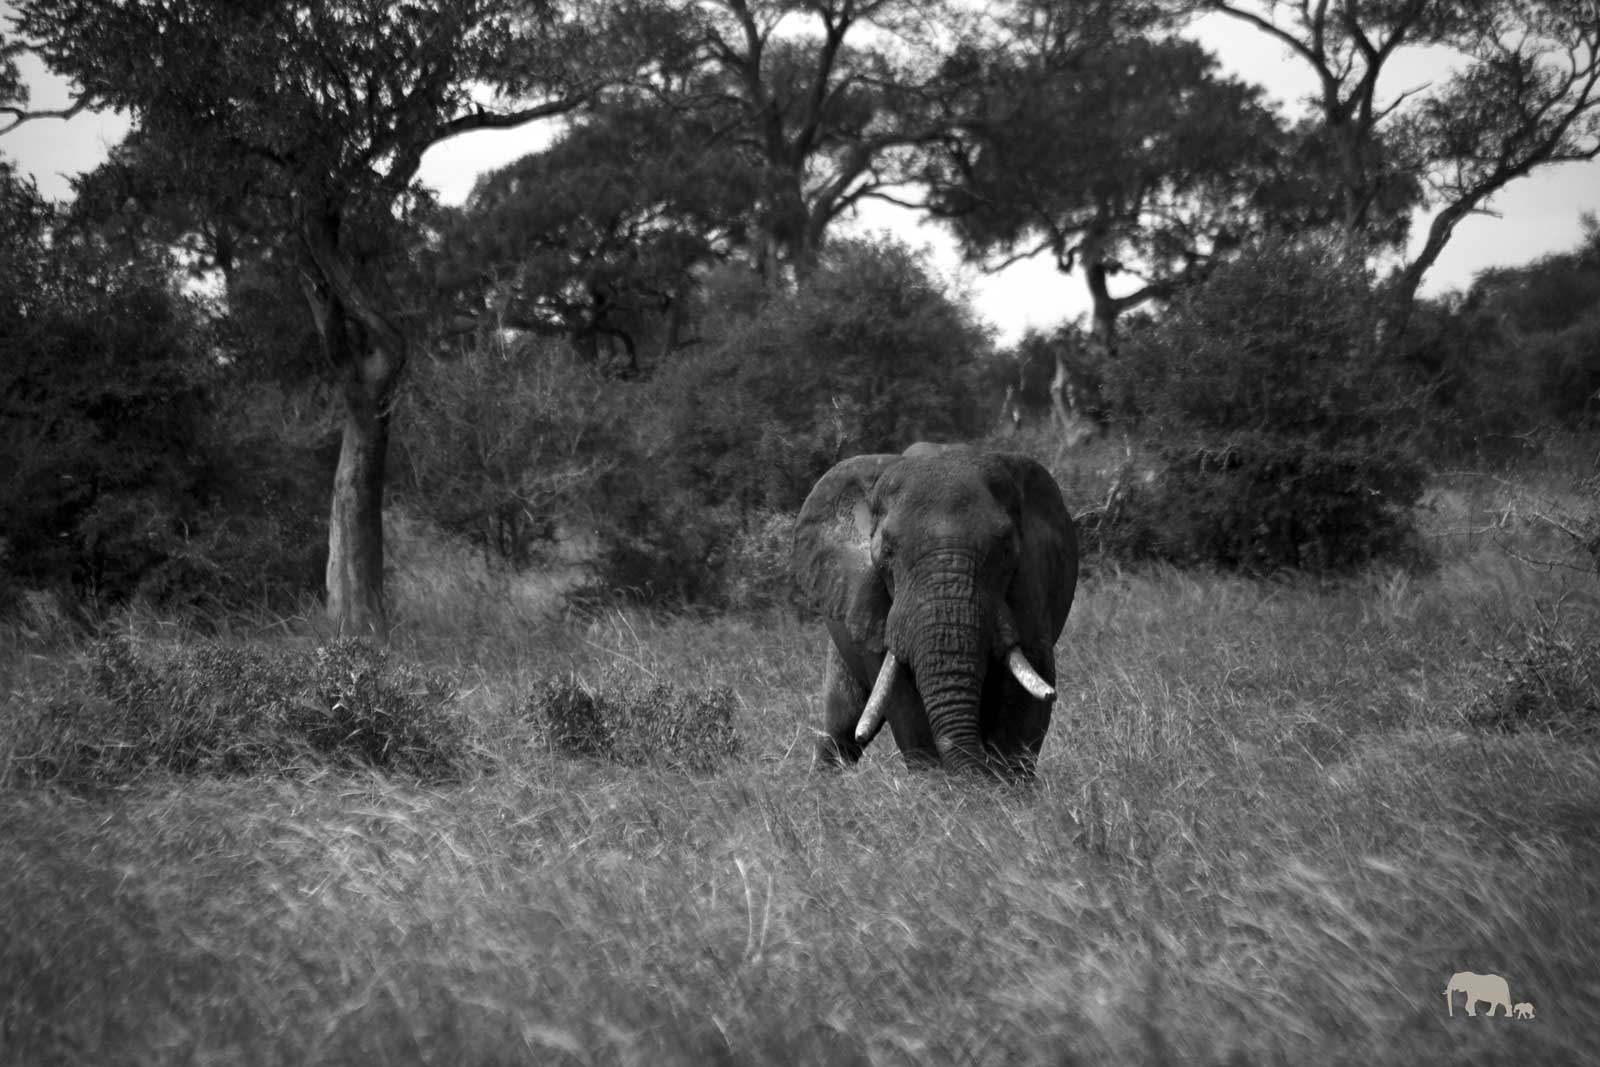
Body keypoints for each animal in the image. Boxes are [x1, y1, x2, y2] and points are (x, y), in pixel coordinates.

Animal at [792, 443, 1078, 777]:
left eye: (1007, 549)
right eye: (887, 552)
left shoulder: (1032, 582)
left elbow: (1029, 683)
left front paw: (1002, 784)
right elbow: (902, 699)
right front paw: (940, 785)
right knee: (843, 721)